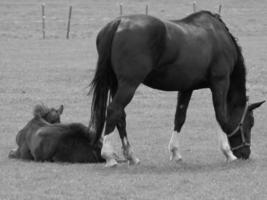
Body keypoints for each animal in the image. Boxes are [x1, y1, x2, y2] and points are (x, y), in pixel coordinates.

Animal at [89, 10, 264, 167]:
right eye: (251, 122)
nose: (245, 154)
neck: (218, 37)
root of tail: (118, 22)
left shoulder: (187, 87)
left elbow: (179, 117)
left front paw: (175, 152)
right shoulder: (220, 82)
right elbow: (221, 116)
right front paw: (228, 154)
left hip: (117, 85)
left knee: (120, 116)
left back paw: (131, 156)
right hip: (129, 84)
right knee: (113, 110)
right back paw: (109, 156)